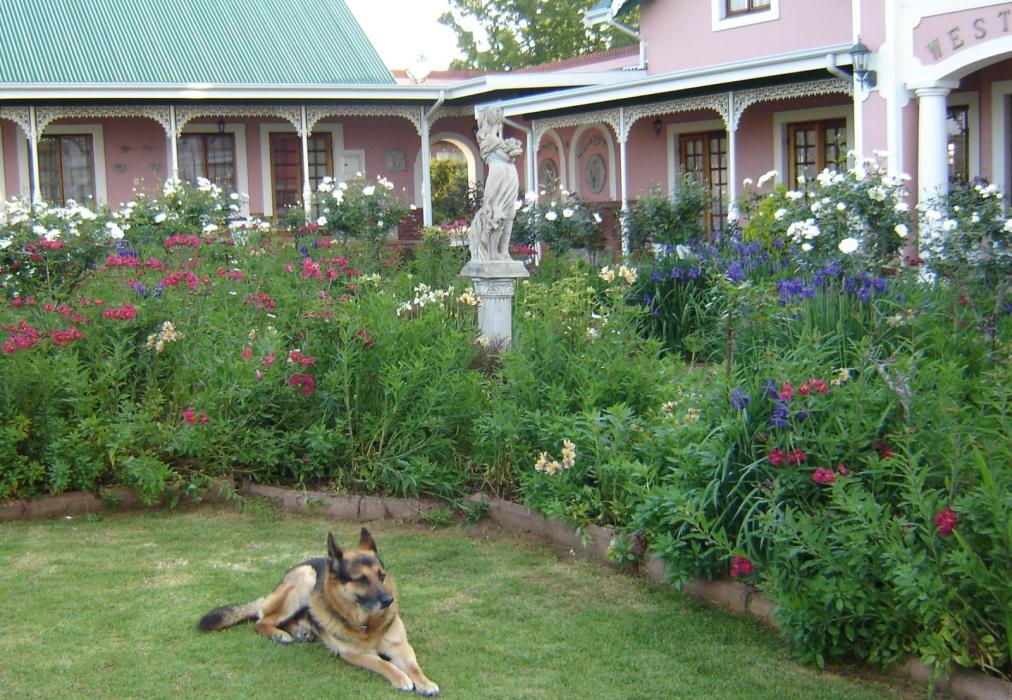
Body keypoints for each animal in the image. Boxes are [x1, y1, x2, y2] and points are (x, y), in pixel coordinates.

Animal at [198, 528, 439, 696]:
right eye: (361, 579)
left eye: (381, 576)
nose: (389, 600)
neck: (367, 625)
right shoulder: (354, 653)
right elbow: (383, 663)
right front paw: (400, 678)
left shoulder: (401, 646)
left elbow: (414, 666)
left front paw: (425, 682)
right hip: (306, 577)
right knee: (262, 620)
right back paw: (279, 634)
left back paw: (301, 631)